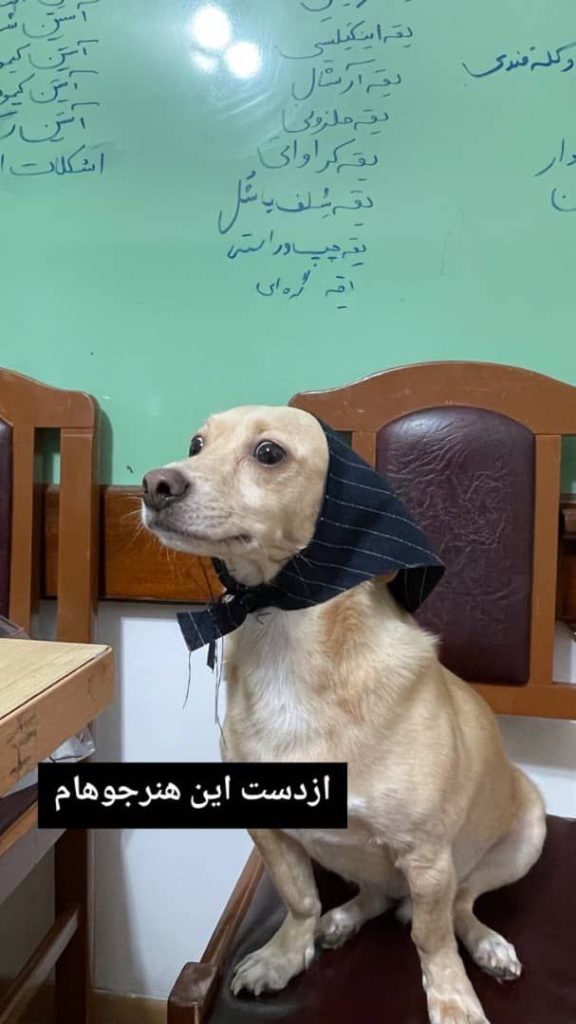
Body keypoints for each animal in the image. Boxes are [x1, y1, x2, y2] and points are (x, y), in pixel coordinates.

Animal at [142, 404, 546, 1024]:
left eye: (269, 453)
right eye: (196, 444)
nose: (155, 484)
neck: (285, 639)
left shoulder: (428, 858)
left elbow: (431, 938)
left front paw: (452, 999)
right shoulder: (271, 832)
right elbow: (299, 899)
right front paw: (286, 954)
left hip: (521, 839)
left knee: (461, 905)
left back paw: (487, 945)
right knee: (376, 895)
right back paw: (342, 920)